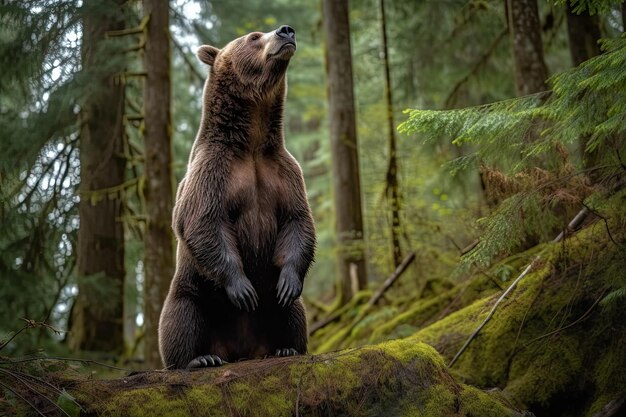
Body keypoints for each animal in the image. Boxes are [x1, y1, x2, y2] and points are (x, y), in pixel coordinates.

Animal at [156, 24, 312, 368]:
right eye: (253, 36)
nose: (286, 31)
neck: (251, 142)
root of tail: (242, 351)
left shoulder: (283, 170)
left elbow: (297, 220)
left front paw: (288, 282)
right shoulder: (213, 171)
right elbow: (203, 221)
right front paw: (243, 289)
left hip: (273, 313)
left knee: (294, 314)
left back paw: (286, 348)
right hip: (195, 289)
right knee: (180, 317)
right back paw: (199, 359)